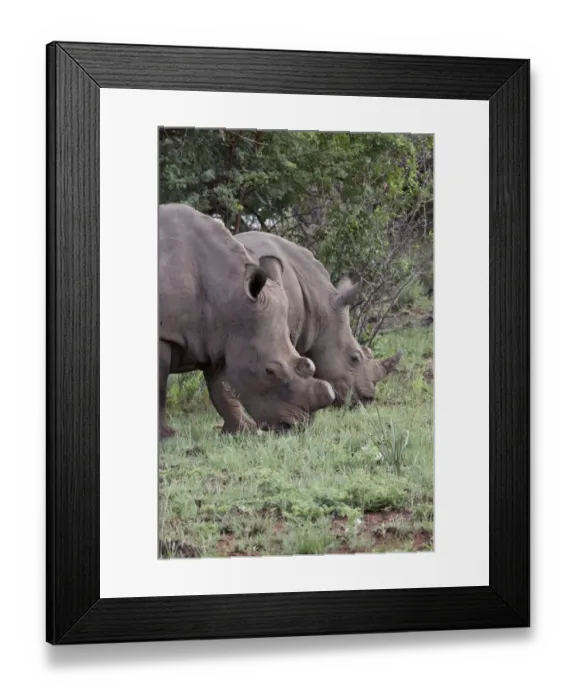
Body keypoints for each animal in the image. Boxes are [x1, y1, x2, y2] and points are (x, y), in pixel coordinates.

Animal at [158, 204, 336, 437]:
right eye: (270, 372)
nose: (295, 427)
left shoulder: (218, 336)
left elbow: (221, 389)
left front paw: (242, 431)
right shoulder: (165, 335)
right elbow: (160, 389)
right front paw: (166, 437)